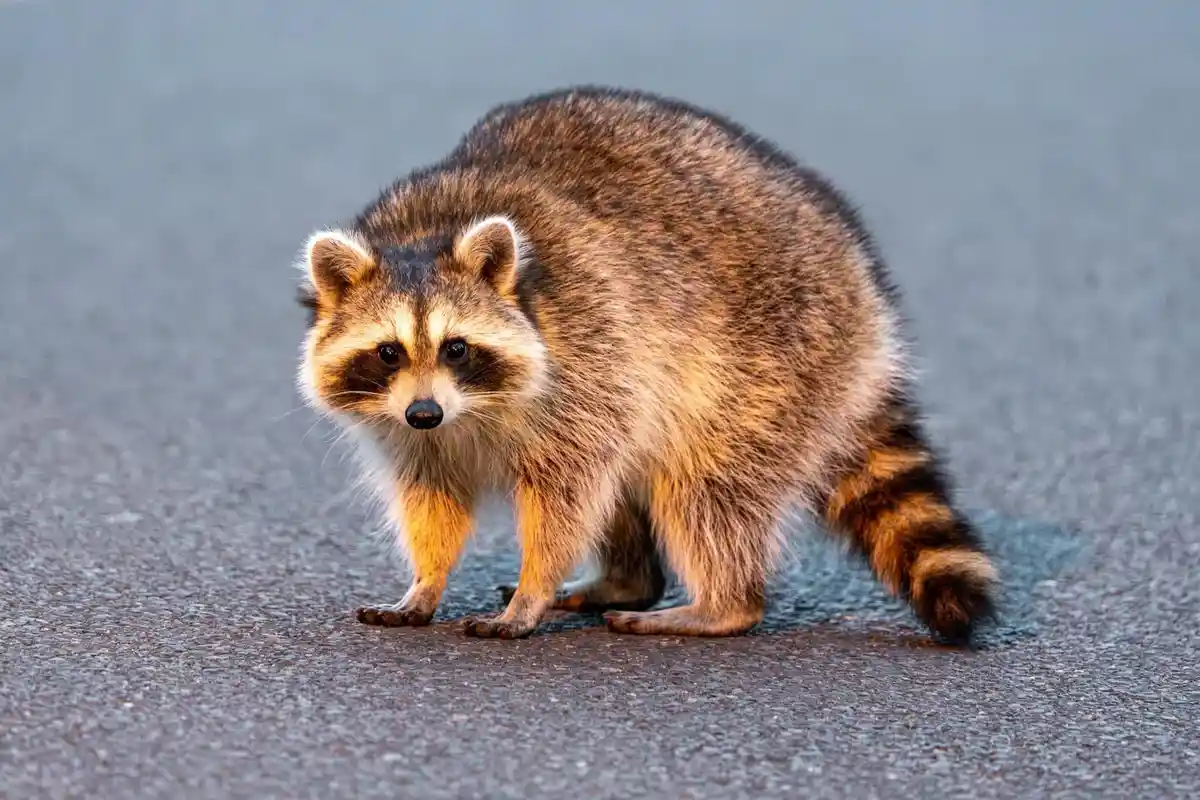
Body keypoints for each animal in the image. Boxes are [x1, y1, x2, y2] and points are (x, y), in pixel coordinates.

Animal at [295, 86, 997, 643]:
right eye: (389, 351)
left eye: (456, 348)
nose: (424, 411)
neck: (425, 235)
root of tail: (867, 290)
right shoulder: (411, 428)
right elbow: (432, 494)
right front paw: (426, 581)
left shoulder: (588, 352)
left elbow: (567, 491)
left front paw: (532, 588)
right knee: (632, 475)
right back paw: (626, 579)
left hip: (776, 356)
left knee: (705, 483)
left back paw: (724, 603)